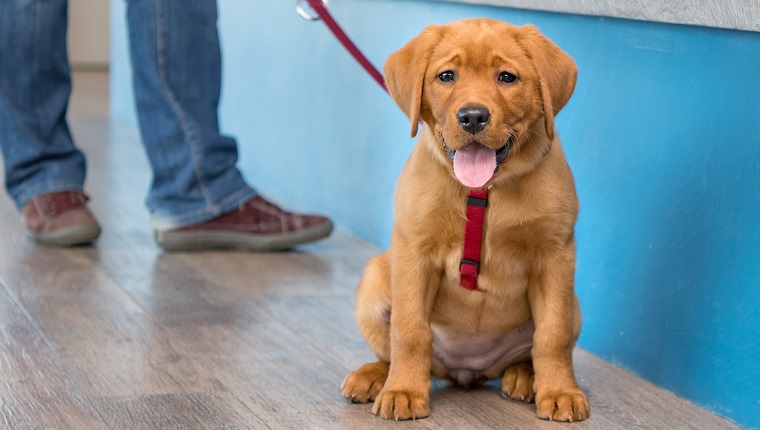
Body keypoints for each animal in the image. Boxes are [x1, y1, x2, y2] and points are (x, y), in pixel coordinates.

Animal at [342, 18, 592, 422]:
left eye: (506, 77)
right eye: (447, 75)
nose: (473, 116)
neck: (483, 190)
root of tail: (468, 370)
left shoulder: (555, 256)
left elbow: (552, 335)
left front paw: (560, 391)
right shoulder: (414, 253)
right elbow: (409, 331)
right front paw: (404, 391)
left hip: (575, 305)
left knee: (533, 348)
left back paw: (525, 377)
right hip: (375, 279)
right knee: (395, 349)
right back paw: (376, 376)